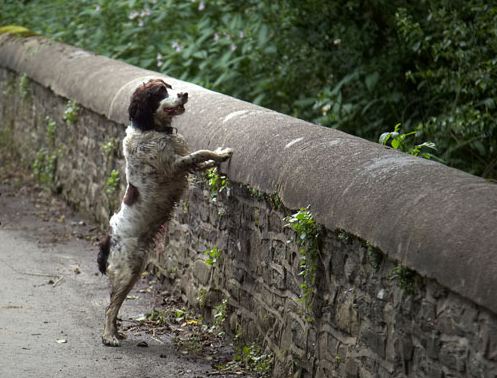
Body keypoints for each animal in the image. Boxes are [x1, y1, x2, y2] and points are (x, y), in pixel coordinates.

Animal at [99, 79, 234, 346]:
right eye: (159, 91)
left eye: (169, 86)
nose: (184, 93)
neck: (151, 128)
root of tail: (109, 240)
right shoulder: (173, 165)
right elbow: (200, 153)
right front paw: (221, 154)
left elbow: (199, 161)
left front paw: (215, 159)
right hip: (125, 271)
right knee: (109, 308)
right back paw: (109, 336)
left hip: (135, 270)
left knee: (115, 304)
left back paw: (117, 332)